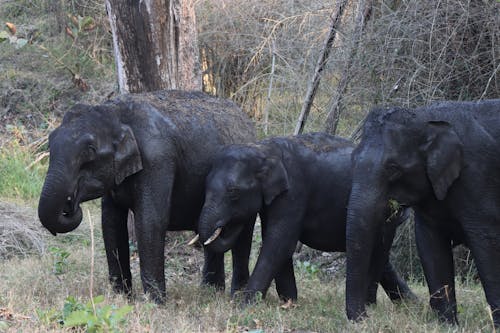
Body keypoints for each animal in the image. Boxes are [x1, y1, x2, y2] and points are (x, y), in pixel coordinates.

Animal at [37, 89, 256, 302]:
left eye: (90, 151)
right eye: (50, 142)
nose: (70, 204)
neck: (115, 112)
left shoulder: (157, 161)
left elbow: (151, 221)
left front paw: (155, 303)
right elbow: (111, 223)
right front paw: (121, 298)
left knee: (243, 235)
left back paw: (235, 296)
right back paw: (210, 293)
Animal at [197, 132, 416, 304]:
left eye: (233, 192)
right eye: (205, 184)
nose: (227, 225)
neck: (264, 149)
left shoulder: (294, 191)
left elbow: (280, 241)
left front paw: (245, 304)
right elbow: (276, 240)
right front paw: (289, 302)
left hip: (387, 210)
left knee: (379, 250)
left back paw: (372, 304)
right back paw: (410, 304)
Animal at [346, 98, 500, 324]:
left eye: (393, 168)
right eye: (353, 159)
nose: (365, 317)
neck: (425, 117)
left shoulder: (478, 177)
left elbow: (487, 244)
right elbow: (430, 244)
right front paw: (448, 325)